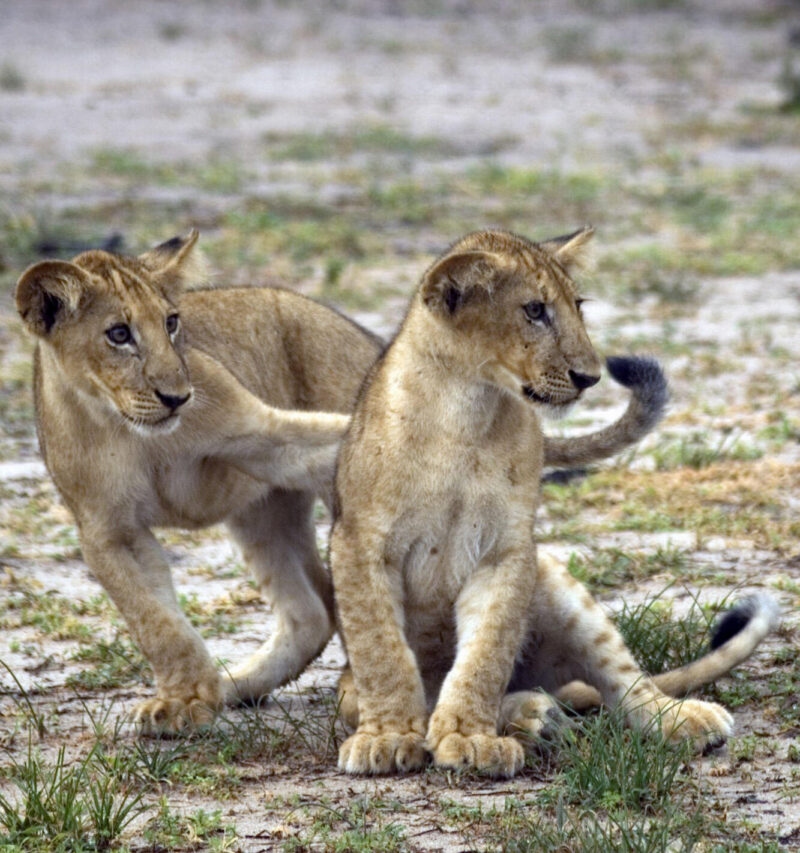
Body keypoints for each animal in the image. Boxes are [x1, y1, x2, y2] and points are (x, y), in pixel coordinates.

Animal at [330, 228, 773, 777]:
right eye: (535, 310)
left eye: (576, 306)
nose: (590, 376)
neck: (466, 411)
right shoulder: (359, 544)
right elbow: (382, 651)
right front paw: (389, 736)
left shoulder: (508, 551)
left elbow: (486, 652)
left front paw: (468, 736)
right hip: (349, 689)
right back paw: (531, 716)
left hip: (559, 587)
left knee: (620, 680)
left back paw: (665, 718)